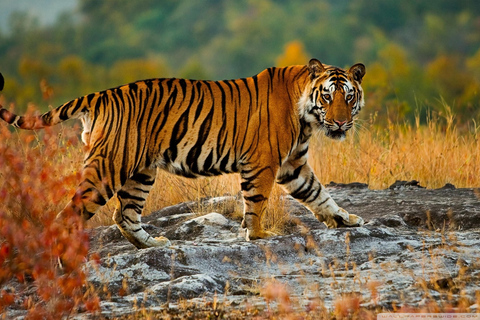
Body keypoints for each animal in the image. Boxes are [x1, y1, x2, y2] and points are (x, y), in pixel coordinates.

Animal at [0, 59, 366, 250]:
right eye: (328, 96)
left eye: (349, 97)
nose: (341, 122)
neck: (307, 116)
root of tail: (100, 94)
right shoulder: (263, 163)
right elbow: (257, 203)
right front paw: (259, 235)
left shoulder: (293, 165)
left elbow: (319, 194)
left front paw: (345, 219)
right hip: (109, 167)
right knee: (70, 214)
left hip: (140, 171)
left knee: (124, 214)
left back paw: (154, 245)